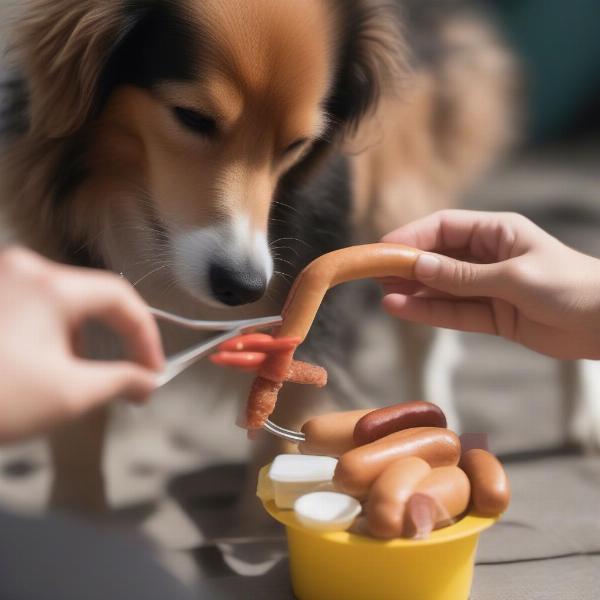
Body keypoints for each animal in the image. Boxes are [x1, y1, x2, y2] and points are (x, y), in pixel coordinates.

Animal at [0, 1, 516, 516]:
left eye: (296, 145)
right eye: (192, 117)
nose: (243, 287)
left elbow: (282, 431)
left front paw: (262, 523)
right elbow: (75, 436)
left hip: (400, 195)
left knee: (422, 326)